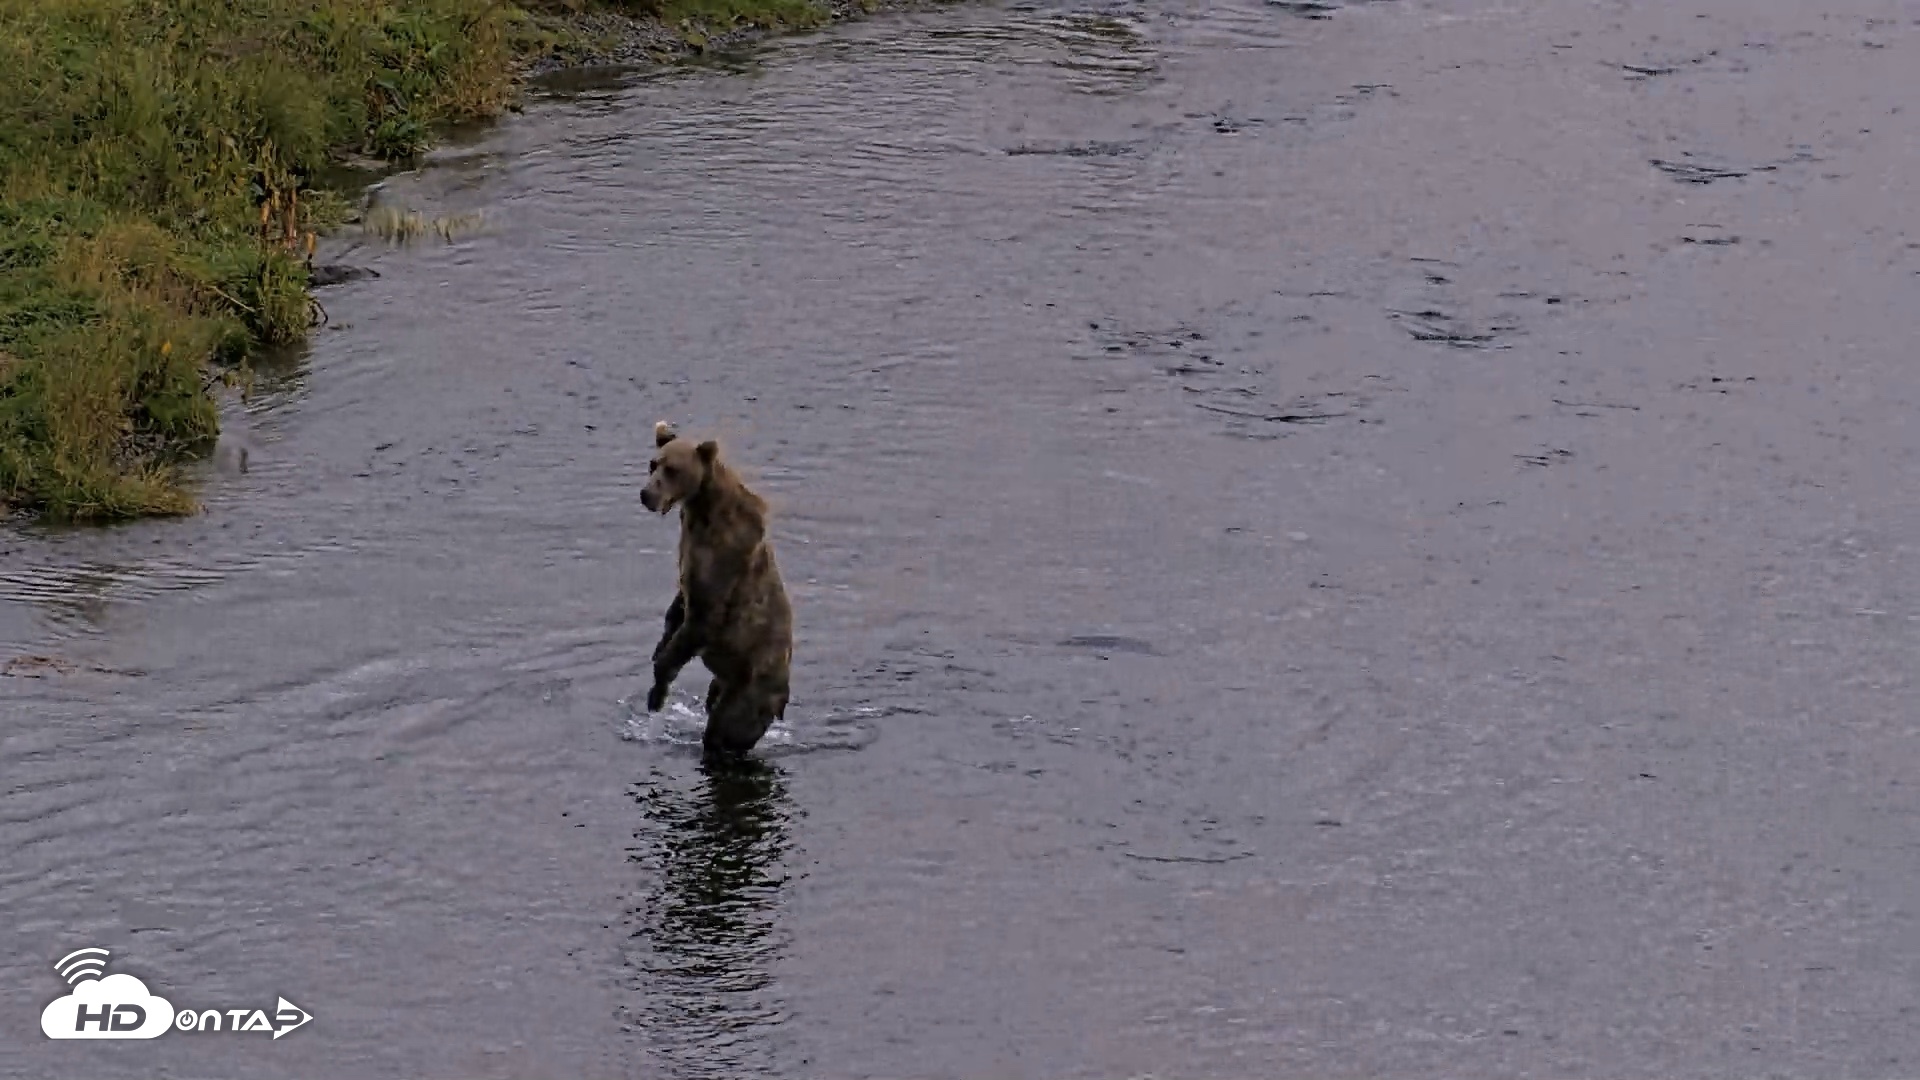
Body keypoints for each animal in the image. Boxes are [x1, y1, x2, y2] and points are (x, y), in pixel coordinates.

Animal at [641, 420, 794, 761]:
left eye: (673, 469)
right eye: (652, 464)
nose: (646, 494)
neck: (701, 511)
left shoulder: (722, 565)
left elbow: (697, 624)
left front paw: (657, 690)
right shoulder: (688, 554)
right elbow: (678, 607)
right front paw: (659, 647)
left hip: (750, 685)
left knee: (726, 728)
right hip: (724, 681)